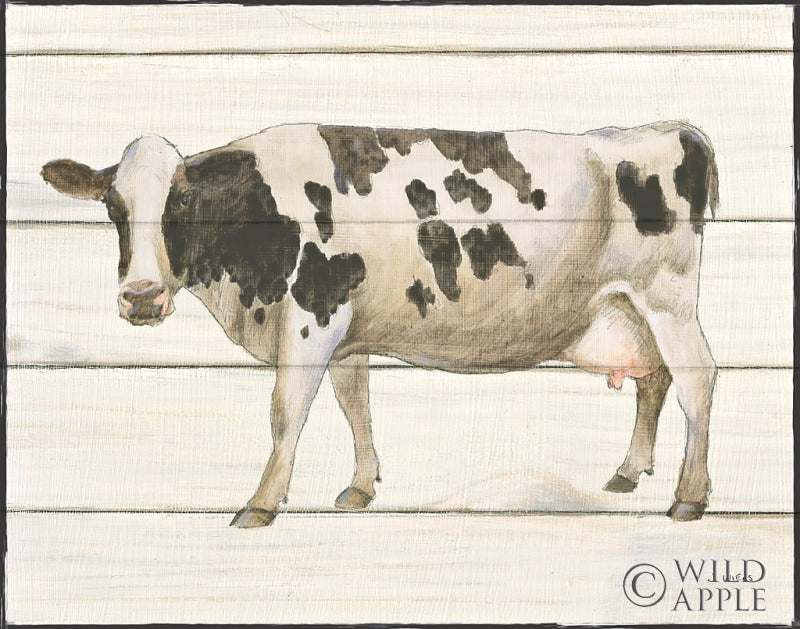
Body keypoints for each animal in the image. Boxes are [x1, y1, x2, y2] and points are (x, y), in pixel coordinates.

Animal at [41, 121, 719, 527]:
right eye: (113, 206)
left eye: (182, 201)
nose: (141, 297)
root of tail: (672, 130)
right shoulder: (345, 328)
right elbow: (354, 402)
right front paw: (361, 487)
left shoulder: (313, 313)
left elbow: (287, 409)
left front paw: (259, 505)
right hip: (625, 308)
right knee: (654, 378)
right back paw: (628, 473)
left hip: (668, 297)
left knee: (697, 381)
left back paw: (689, 496)